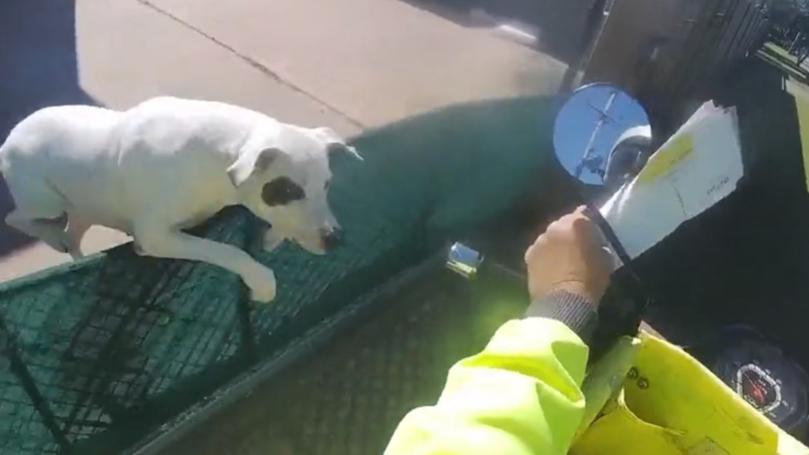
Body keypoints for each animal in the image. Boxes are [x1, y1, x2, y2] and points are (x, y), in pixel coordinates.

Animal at [0, 96, 360, 302]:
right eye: (287, 191)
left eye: (327, 185)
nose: (335, 239)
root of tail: (11, 136)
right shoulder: (155, 237)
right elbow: (228, 251)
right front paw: (262, 283)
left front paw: (273, 237)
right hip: (45, 202)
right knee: (16, 218)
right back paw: (49, 236)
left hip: (83, 207)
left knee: (73, 233)